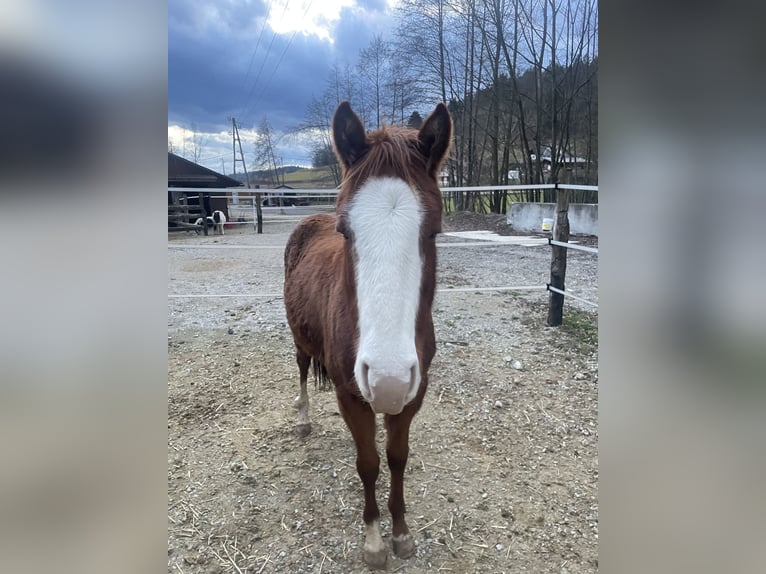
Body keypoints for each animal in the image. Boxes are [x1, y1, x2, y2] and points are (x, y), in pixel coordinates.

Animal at [284, 101, 452, 568]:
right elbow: (368, 464)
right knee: (301, 370)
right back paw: (303, 420)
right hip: (299, 340)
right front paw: (375, 541)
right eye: (346, 231)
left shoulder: (413, 396)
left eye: (433, 231)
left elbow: (394, 458)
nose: (387, 378)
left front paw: (401, 533)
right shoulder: (350, 394)